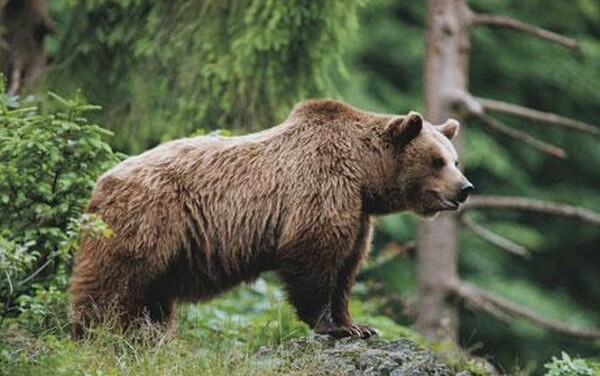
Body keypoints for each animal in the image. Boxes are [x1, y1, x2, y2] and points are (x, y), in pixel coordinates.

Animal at [69, 98, 474, 340]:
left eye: (454, 159)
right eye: (437, 160)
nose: (465, 188)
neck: (365, 174)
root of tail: (100, 181)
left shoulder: (358, 213)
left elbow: (346, 268)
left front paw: (358, 325)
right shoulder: (323, 186)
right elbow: (314, 255)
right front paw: (332, 327)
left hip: (167, 252)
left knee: (151, 298)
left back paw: (149, 337)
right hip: (146, 219)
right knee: (114, 280)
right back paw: (91, 333)